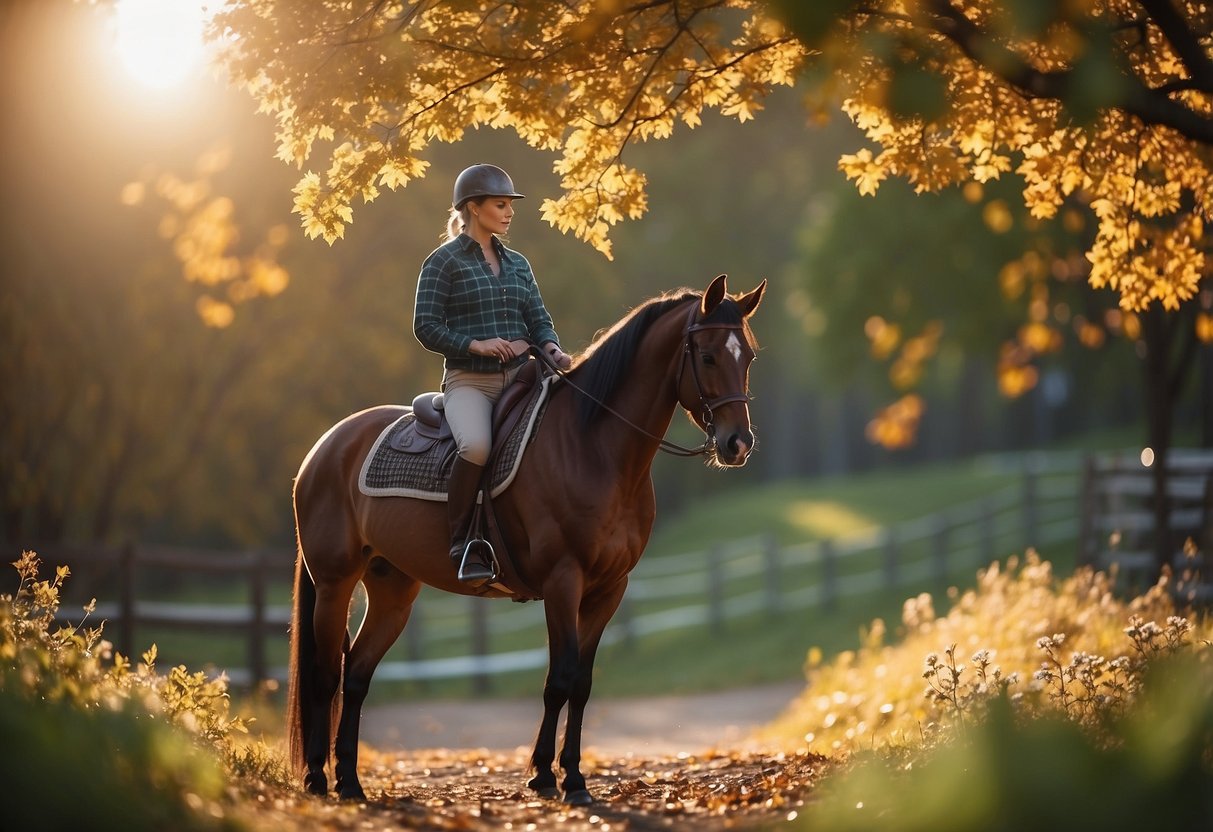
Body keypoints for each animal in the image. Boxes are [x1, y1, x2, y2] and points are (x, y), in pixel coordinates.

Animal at [287, 276, 761, 805]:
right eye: (708, 356)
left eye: (748, 356)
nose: (738, 444)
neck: (592, 446)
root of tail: (325, 447)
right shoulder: (562, 581)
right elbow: (560, 678)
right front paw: (552, 778)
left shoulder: (608, 589)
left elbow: (582, 683)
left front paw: (566, 775)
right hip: (334, 584)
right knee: (325, 677)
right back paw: (317, 778)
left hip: (393, 592)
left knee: (357, 676)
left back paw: (350, 782)